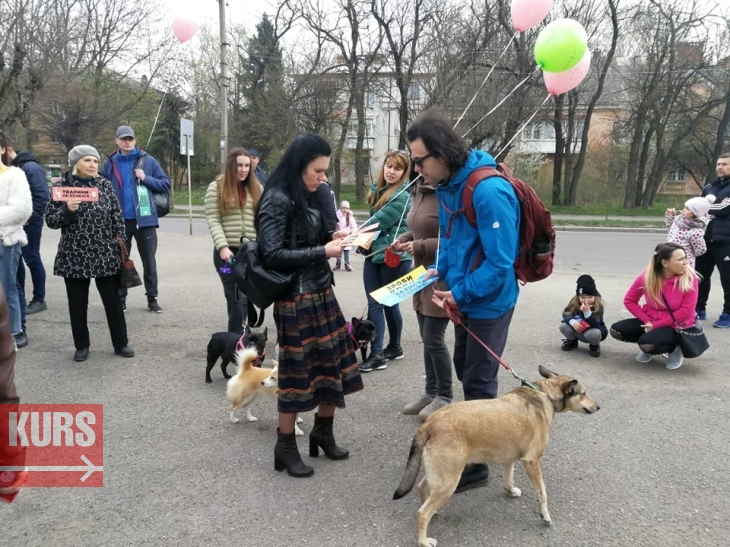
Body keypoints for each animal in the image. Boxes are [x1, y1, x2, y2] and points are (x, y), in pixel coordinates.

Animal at [393, 365, 599, 547]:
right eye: (584, 393)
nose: (598, 407)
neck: (545, 395)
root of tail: (430, 423)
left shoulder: (509, 460)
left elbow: (509, 479)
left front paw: (510, 491)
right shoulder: (532, 461)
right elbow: (542, 492)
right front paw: (545, 515)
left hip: (442, 473)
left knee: (422, 487)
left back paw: (433, 514)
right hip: (448, 481)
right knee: (422, 513)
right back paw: (423, 541)